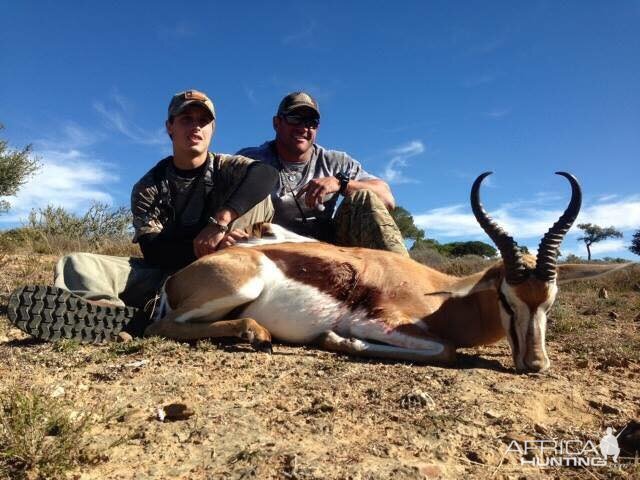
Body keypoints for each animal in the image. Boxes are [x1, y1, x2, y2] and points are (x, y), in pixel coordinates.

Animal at [145, 172, 632, 372]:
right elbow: (446, 351)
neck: (443, 294)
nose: (535, 365)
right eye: (505, 298)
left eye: (550, 300)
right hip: (240, 286)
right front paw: (334, 340)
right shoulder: (380, 321)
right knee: (158, 328)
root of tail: (177, 277)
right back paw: (256, 333)